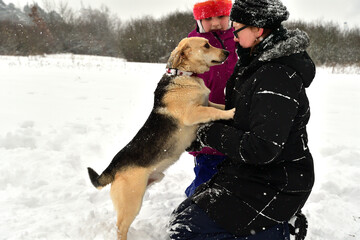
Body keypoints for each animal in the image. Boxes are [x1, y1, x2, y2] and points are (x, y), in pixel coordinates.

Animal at [88, 36, 235, 240]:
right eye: (206, 45)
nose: (228, 52)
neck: (184, 74)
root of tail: (112, 168)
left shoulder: (206, 103)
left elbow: (216, 106)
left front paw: (228, 107)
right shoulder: (193, 113)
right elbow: (212, 111)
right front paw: (231, 112)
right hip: (132, 202)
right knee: (120, 227)